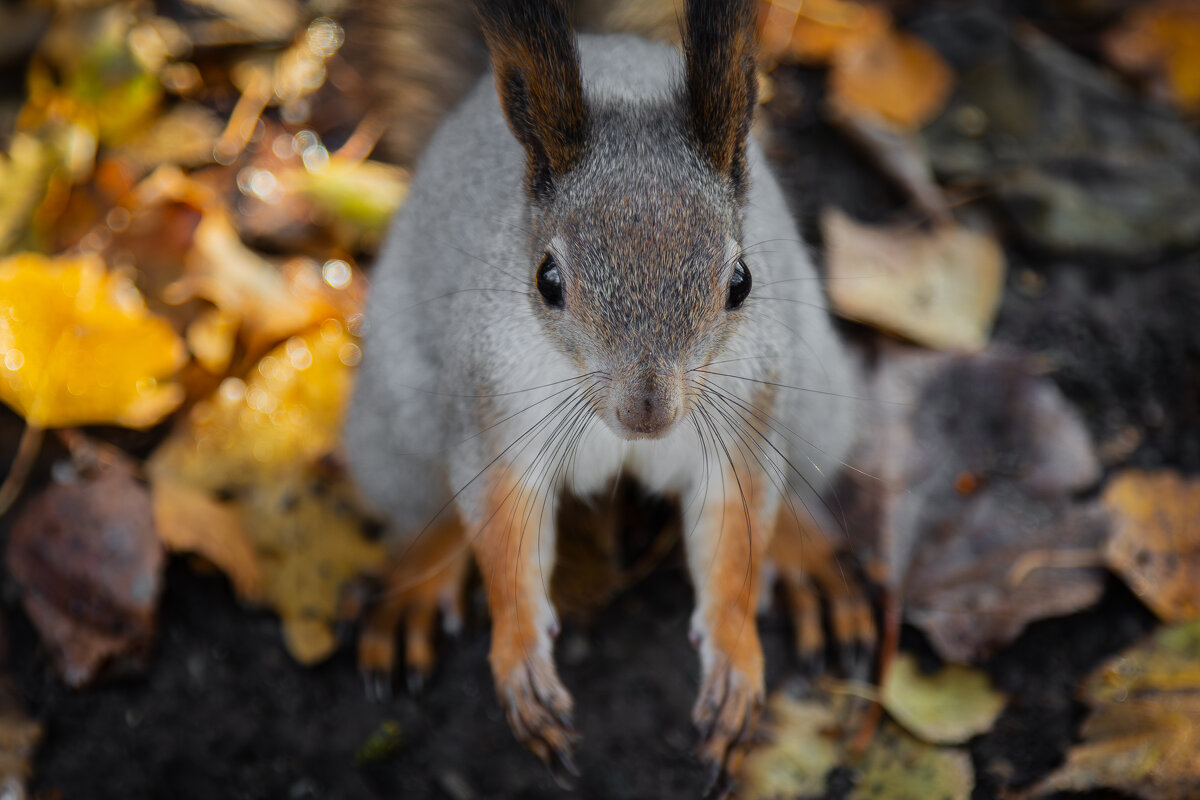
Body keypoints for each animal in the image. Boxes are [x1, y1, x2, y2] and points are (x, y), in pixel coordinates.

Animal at [343, 0, 868, 786]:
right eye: (547, 281)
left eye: (740, 282)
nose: (647, 410)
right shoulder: (495, 414)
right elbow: (504, 532)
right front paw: (523, 659)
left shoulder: (743, 422)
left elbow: (735, 541)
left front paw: (735, 662)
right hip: (394, 417)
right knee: (423, 509)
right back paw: (416, 580)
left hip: (820, 398)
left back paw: (805, 554)